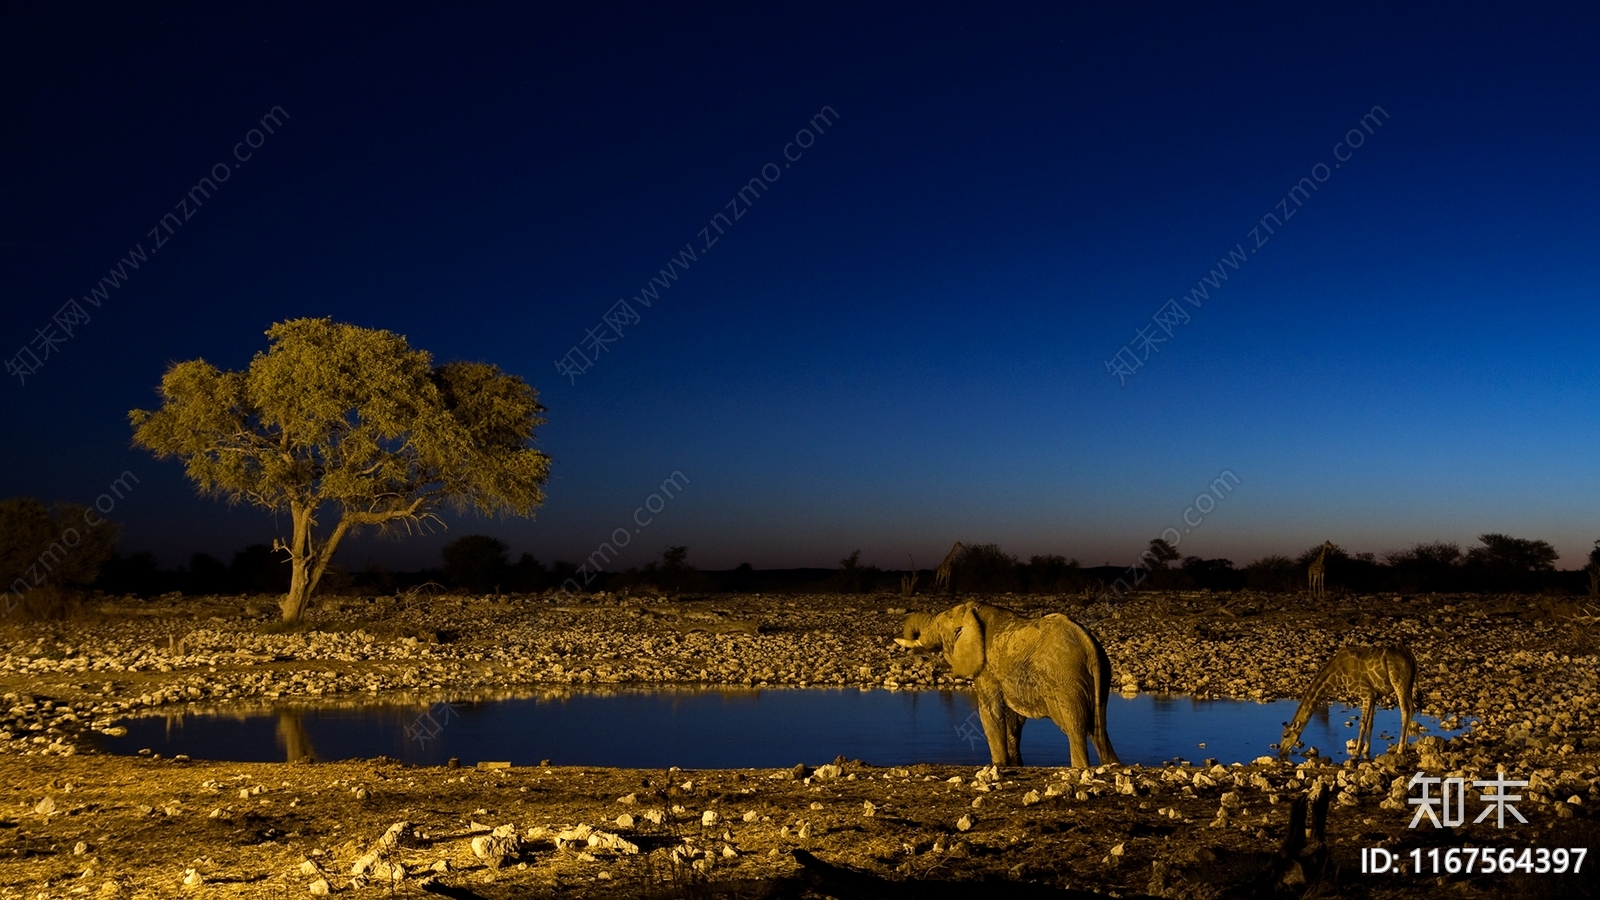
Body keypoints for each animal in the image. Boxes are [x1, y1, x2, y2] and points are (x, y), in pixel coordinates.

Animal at [896, 598, 1120, 768]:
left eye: (938, 625)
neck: (973, 611)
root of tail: (1089, 646)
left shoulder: (986, 668)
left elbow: (990, 711)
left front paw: (999, 765)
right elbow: (1014, 719)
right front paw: (1015, 765)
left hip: (1065, 680)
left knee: (1076, 728)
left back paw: (1080, 767)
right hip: (1101, 676)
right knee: (1099, 729)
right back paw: (1112, 765)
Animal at [1280, 640, 1420, 759]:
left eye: (1285, 735)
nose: (1281, 751)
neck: (1337, 674)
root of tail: (1411, 656)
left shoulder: (1366, 693)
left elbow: (1362, 723)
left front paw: (1356, 753)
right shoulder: (1373, 695)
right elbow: (1370, 724)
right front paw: (1366, 750)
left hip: (1399, 683)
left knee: (1405, 710)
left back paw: (1400, 749)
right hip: (1408, 684)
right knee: (1412, 709)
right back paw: (1405, 748)